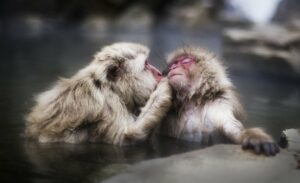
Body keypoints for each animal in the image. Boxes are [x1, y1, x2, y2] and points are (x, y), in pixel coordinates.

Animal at [24, 42, 172, 145]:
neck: (111, 88)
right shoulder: (109, 105)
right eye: (146, 64)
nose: (159, 73)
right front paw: (164, 89)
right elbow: (126, 136)